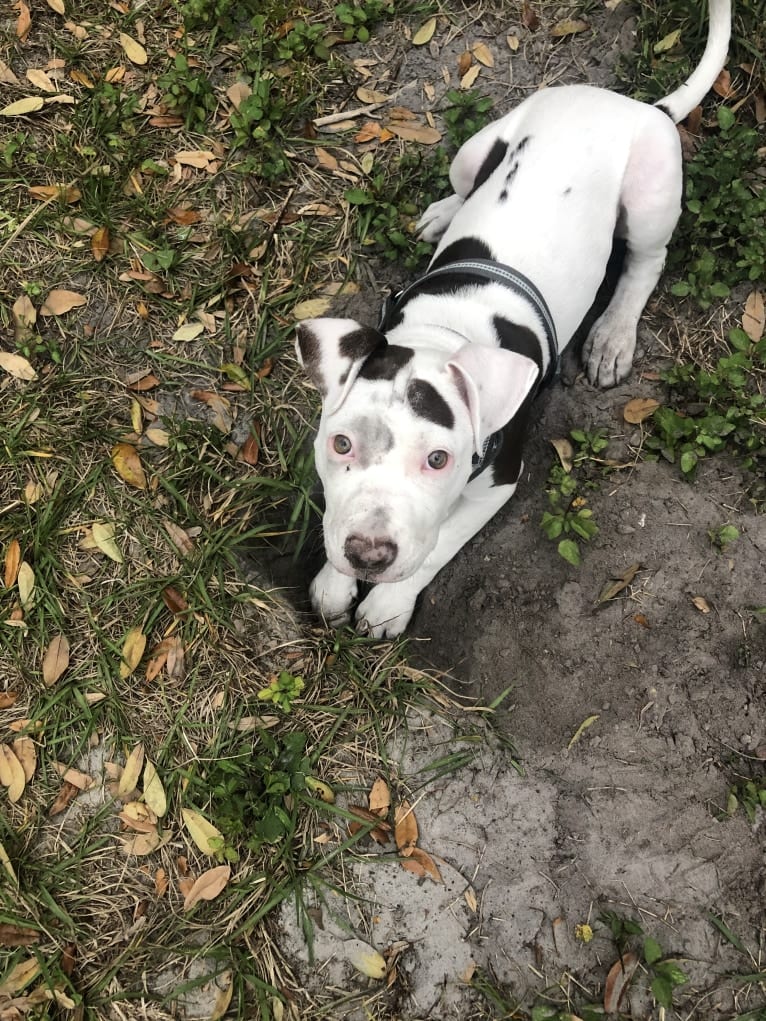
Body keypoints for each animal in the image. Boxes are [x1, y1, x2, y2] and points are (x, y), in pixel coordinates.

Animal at [294, 0, 731, 637]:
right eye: (341, 445)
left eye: (438, 460)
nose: (368, 555)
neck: (445, 329)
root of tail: (634, 105)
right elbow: (337, 509)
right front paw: (334, 582)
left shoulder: (497, 483)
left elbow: (443, 541)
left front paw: (389, 603)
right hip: (478, 148)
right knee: (468, 178)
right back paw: (442, 212)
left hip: (652, 195)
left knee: (647, 261)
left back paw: (613, 336)